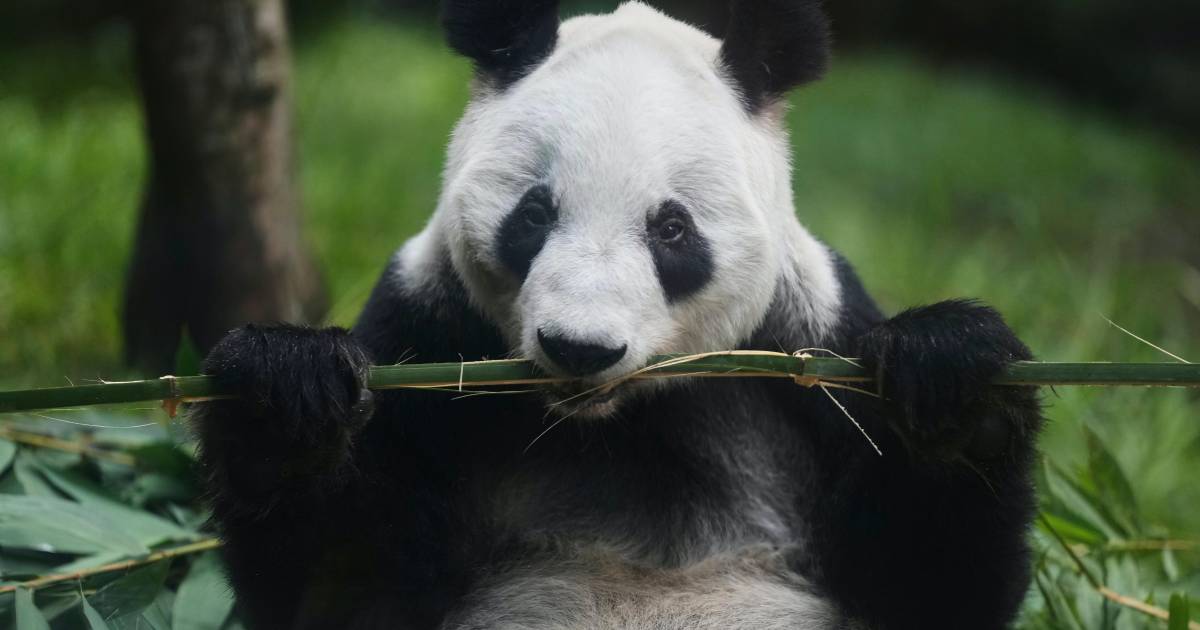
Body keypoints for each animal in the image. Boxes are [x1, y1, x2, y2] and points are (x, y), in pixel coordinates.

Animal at [192, 1, 1043, 628]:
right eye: (534, 215)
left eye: (672, 230)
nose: (580, 347)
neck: (615, 421)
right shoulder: (425, 340)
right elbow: (342, 582)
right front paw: (288, 392)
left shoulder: (812, 355)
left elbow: (930, 584)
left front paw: (954, 381)